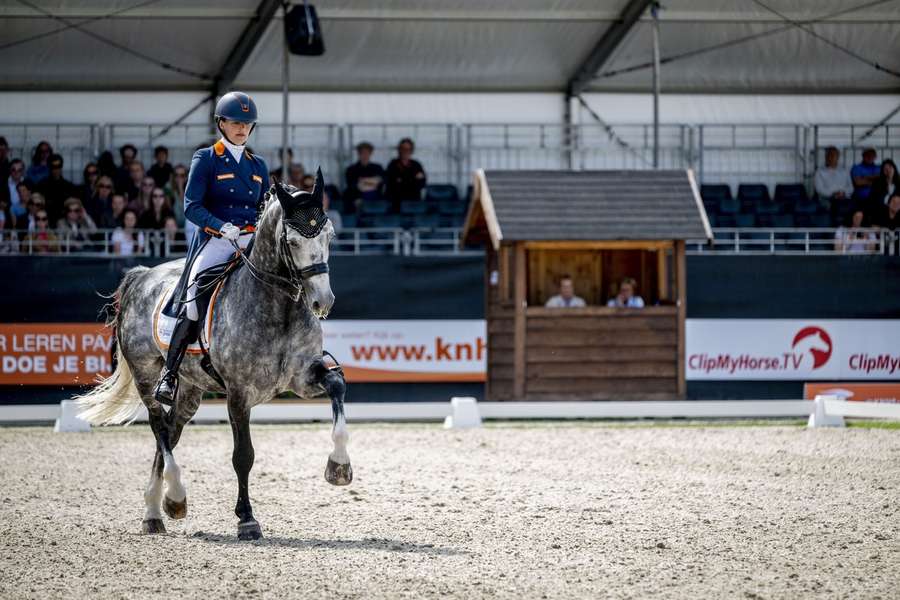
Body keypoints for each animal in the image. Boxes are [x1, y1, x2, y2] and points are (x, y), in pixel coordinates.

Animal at [77, 177, 354, 540]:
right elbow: (243, 455)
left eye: (330, 236)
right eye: (292, 241)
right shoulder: (238, 393)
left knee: (171, 429)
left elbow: (336, 385)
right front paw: (247, 519)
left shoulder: (302, 378)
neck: (278, 306)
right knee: (159, 427)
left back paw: (155, 510)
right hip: (146, 374)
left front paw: (339, 467)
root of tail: (141, 275)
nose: (323, 301)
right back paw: (175, 497)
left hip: (191, 388)